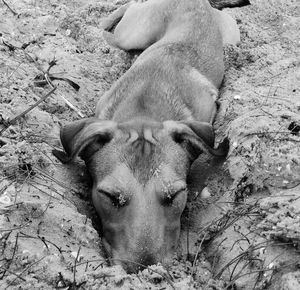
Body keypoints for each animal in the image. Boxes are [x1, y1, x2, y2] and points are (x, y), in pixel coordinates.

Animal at [52, 0, 243, 272]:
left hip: (229, 35)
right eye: (110, 197)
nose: (145, 270)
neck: (145, 109)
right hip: (132, 34)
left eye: (175, 195)